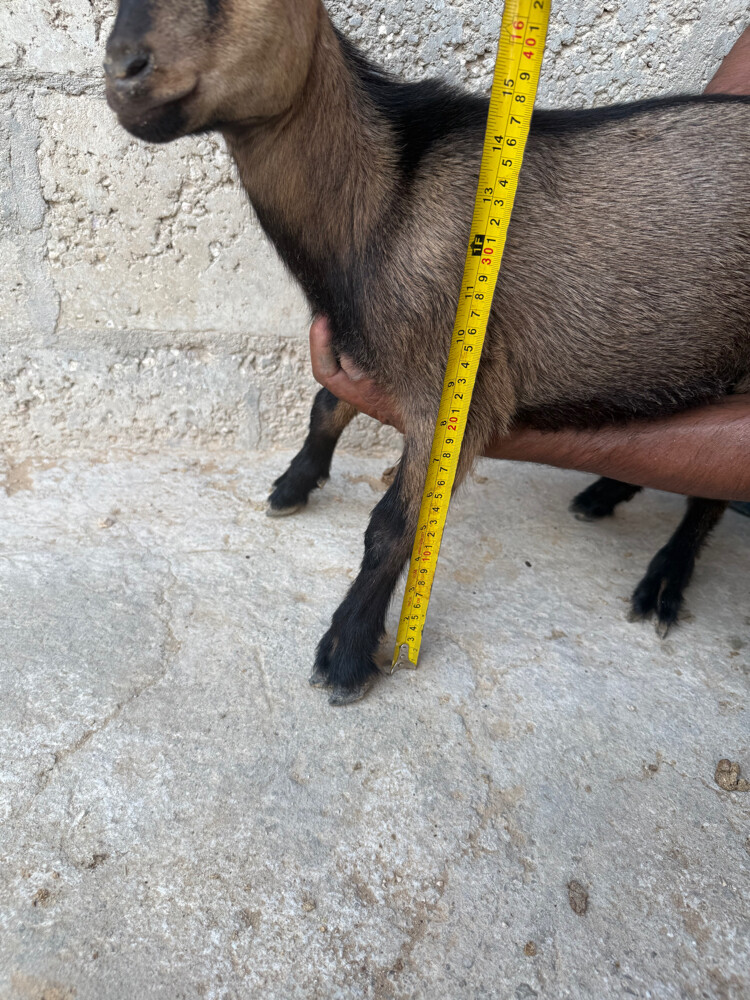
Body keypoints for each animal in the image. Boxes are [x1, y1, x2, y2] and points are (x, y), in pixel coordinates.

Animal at [105, 0, 750, 704]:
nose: (122, 70)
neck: (387, 200)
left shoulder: (455, 386)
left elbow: (393, 523)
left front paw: (347, 652)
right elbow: (326, 405)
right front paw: (294, 483)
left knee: (712, 488)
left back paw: (664, 581)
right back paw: (604, 494)